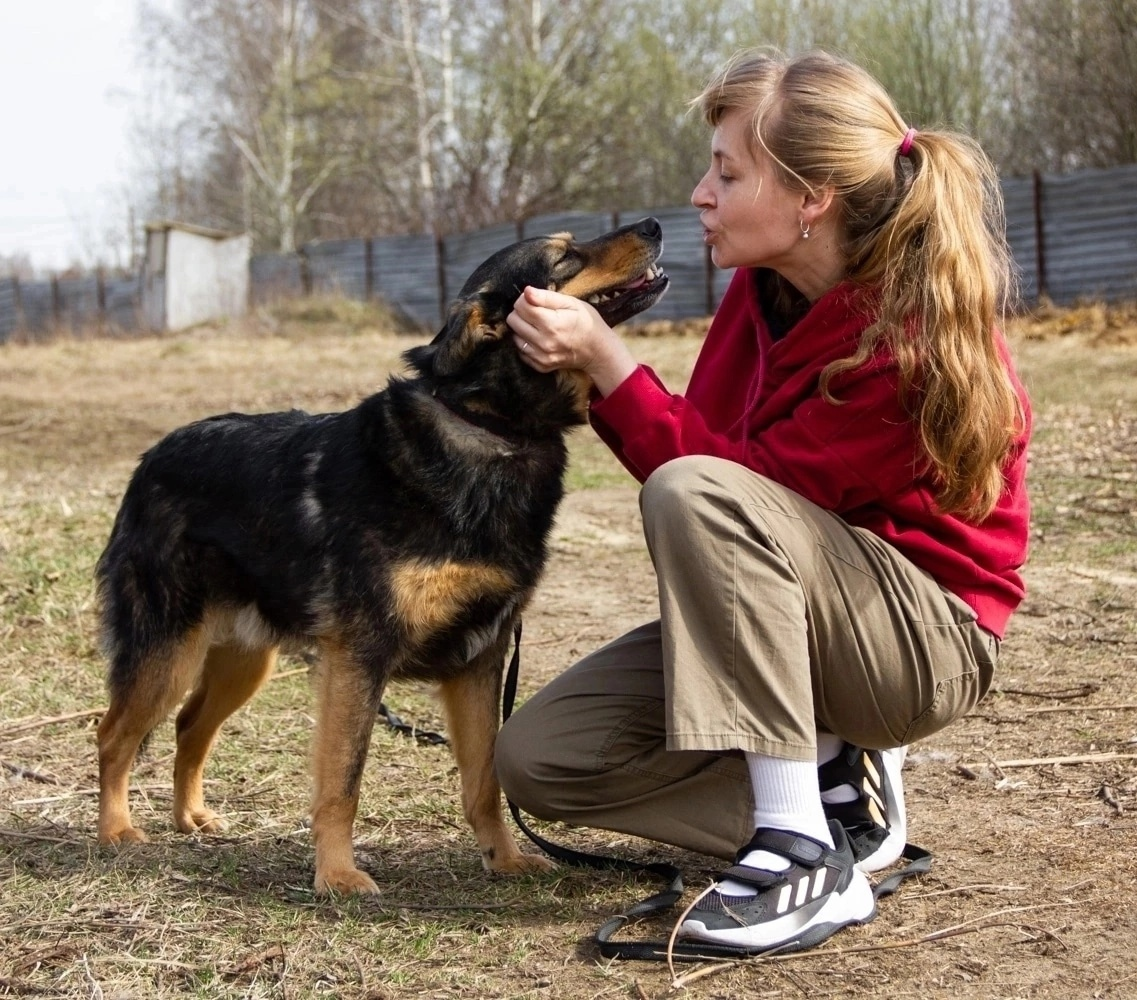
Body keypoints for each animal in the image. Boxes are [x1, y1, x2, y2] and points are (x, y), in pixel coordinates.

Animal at [97, 214, 668, 895]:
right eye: (564, 256)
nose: (656, 223)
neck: (492, 428)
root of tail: (149, 460)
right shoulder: (359, 658)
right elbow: (343, 781)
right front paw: (337, 874)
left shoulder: (479, 660)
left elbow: (484, 780)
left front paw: (502, 858)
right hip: (168, 652)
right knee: (113, 735)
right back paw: (116, 832)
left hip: (243, 660)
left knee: (188, 727)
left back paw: (191, 817)